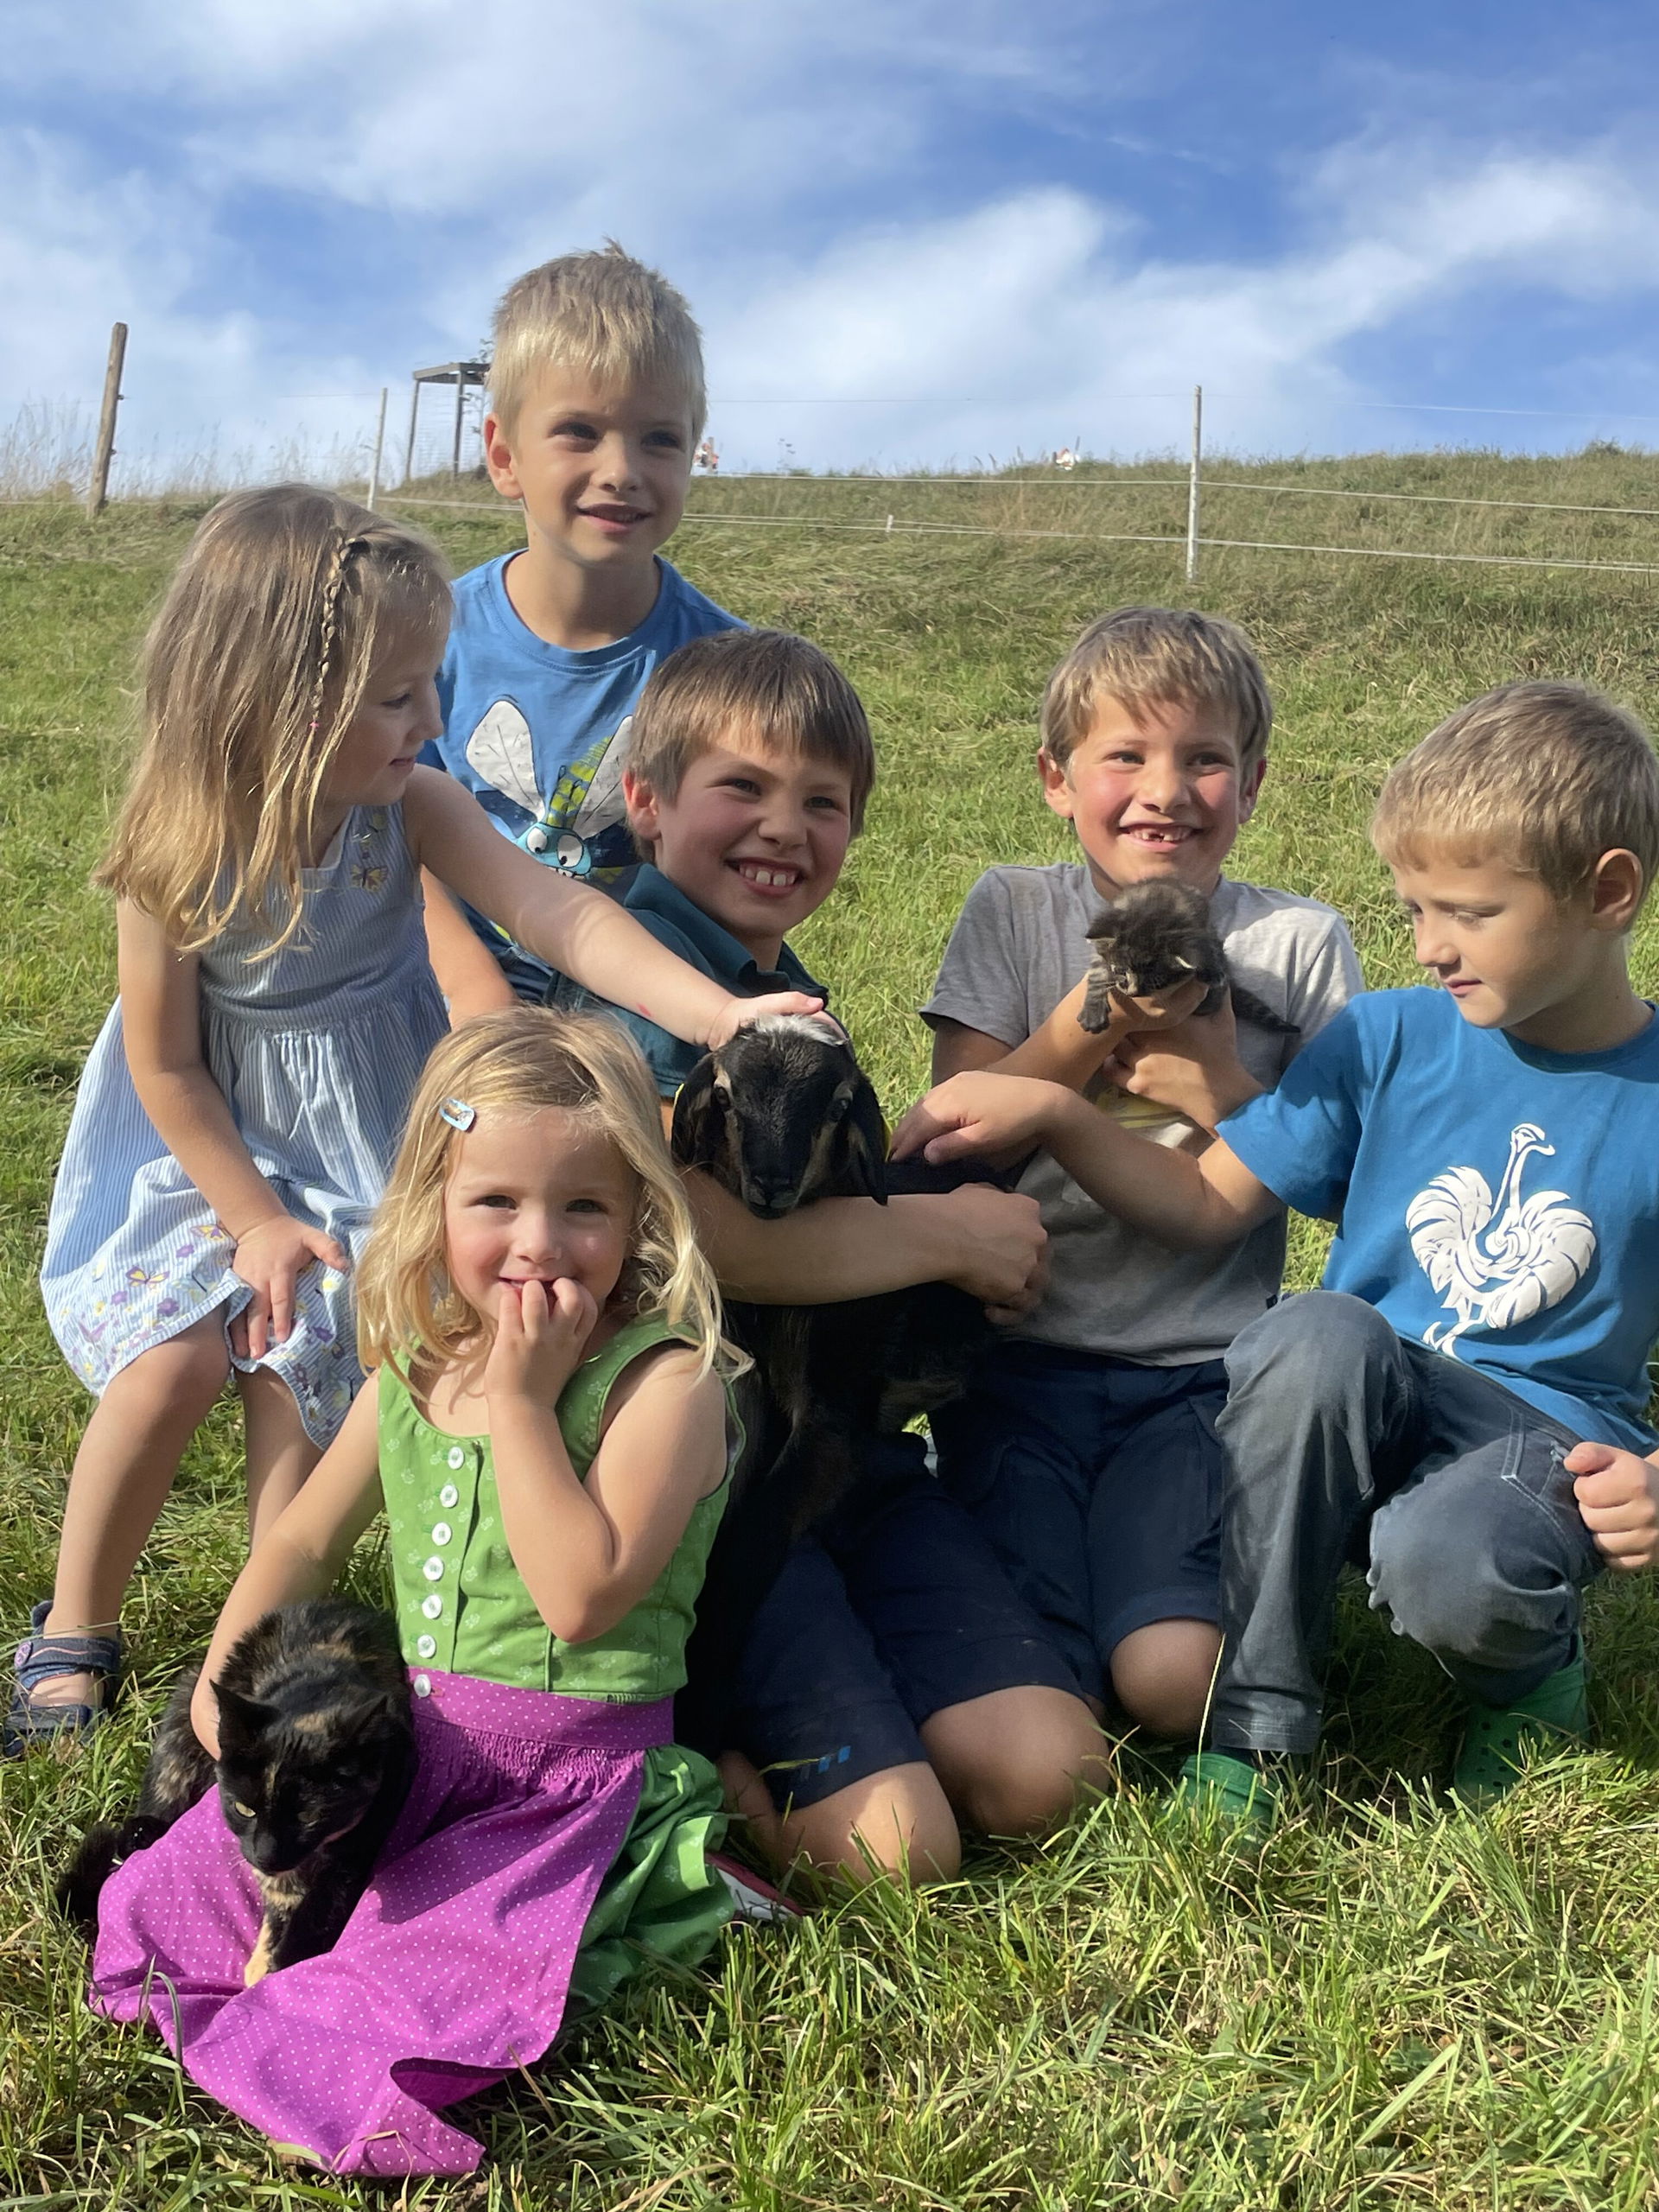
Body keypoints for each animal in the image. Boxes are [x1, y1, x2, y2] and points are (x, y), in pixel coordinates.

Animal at [60, 1592, 413, 1991]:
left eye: (309, 1815)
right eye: (244, 1809)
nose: (265, 1854)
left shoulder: (374, 1818)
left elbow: (329, 1894)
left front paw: (286, 1958)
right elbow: (280, 1892)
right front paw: (269, 1959)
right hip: (184, 1717)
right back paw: (139, 1833)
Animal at [1084, 880, 1309, 1044]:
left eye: (1156, 981)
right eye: (1120, 970)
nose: (1133, 993)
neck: (1151, 907)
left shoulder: (1203, 929)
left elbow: (1209, 948)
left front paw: (1212, 970)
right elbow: (1097, 974)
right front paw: (1093, 1010)